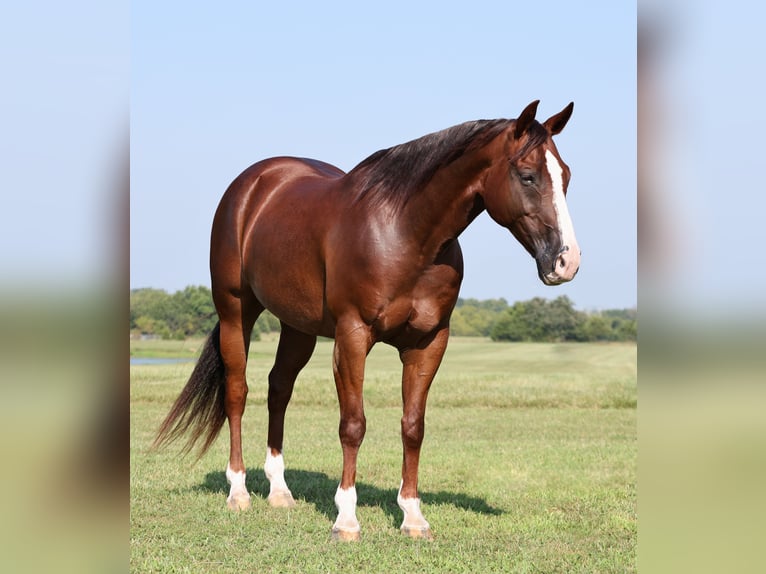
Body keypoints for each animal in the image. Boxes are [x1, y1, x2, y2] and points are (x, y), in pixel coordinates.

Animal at [154, 101, 584, 544]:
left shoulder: (428, 342)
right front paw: (346, 520)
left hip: (298, 327)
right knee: (237, 392)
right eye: (528, 175)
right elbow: (353, 424)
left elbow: (413, 426)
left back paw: (279, 491)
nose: (566, 262)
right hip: (235, 311)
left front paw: (413, 516)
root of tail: (252, 185)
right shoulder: (352, 336)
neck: (406, 235)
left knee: (279, 389)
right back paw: (238, 491)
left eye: (566, 175)